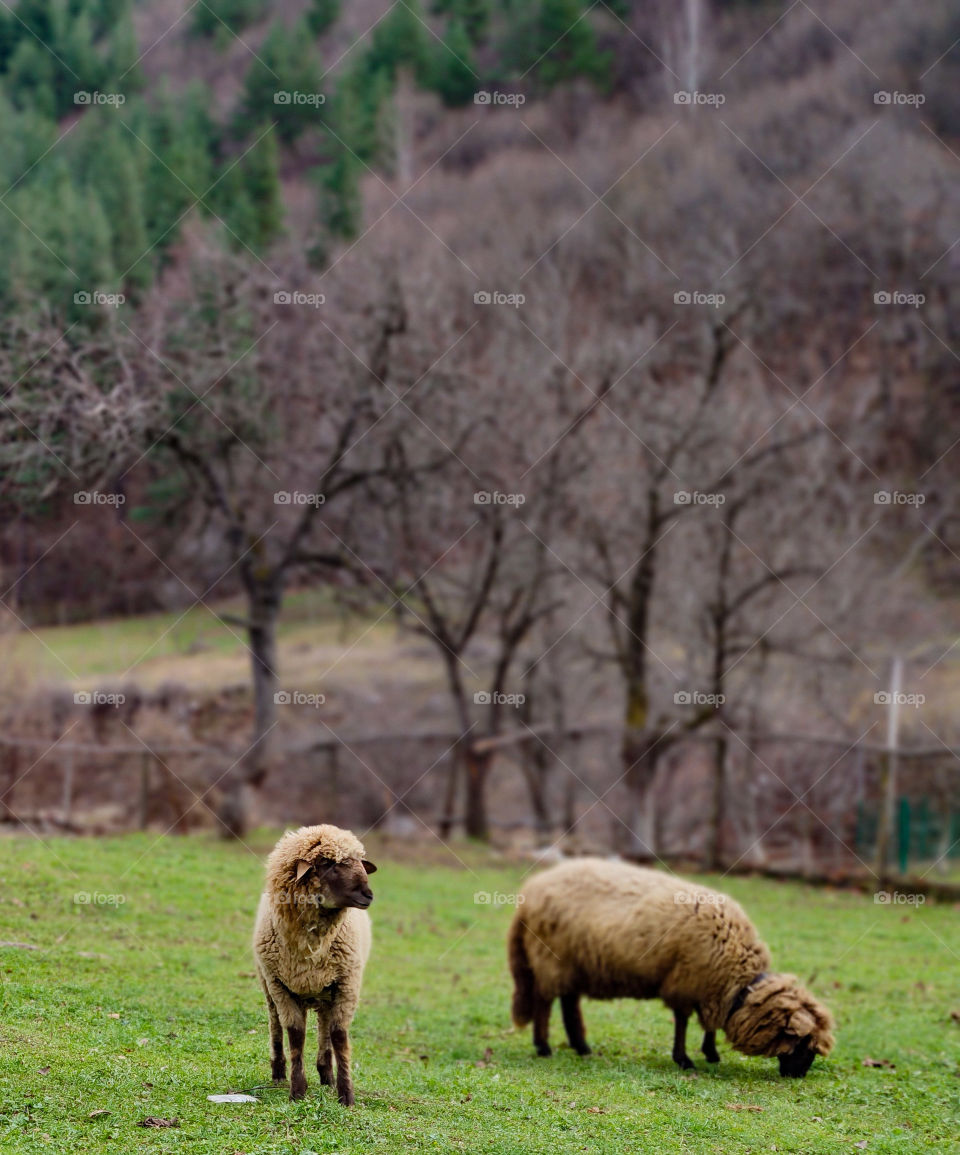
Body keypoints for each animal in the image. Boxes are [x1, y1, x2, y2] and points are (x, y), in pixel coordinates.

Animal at [252, 826, 376, 1104]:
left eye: (359, 862)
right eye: (327, 863)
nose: (368, 895)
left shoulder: (347, 984)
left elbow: (339, 1035)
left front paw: (346, 1095)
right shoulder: (280, 986)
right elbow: (295, 1033)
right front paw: (297, 1090)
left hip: (325, 992)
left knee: (325, 1028)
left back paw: (326, 1074)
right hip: (269, 987)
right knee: (275, 1024)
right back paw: (278, 1072)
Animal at [510, 859, 831, 1071]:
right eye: (803, 1044)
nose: (798, 1076)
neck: (740, 982)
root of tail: (530, 893)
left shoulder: (709, 987)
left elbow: (709, 1024)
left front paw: (711, 1053)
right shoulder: (687, 981)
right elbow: (683, 1021)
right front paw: (684, 1059)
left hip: (574, 963)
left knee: (568, 1003)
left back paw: (581, 1047)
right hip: (550, 959)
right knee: (544, 1002)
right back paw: (544, 1047)